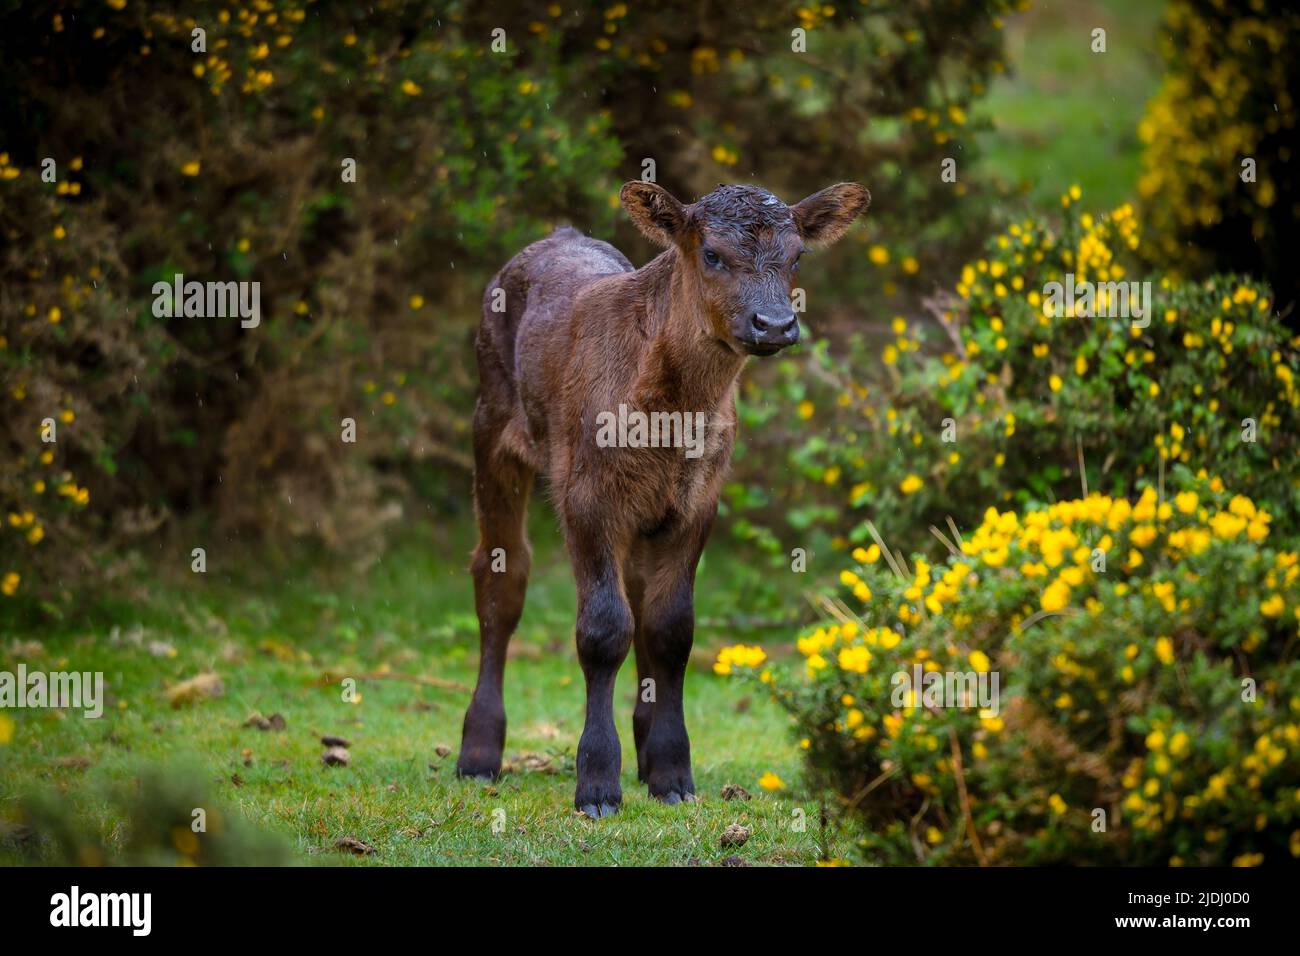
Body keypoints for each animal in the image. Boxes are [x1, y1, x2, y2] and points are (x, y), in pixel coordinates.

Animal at [452, 178, 868, 816]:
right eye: (712, 254)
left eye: (797, 256)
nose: (774, 325)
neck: (670, 414)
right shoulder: (586, 497)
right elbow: (602, 630)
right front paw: (597, 784)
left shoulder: (697, 501)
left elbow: (671, 628)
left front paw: (672, 772)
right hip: (492, 425)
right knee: (502, 579)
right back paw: (478, 755)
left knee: (639, 594)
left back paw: (645, 751)